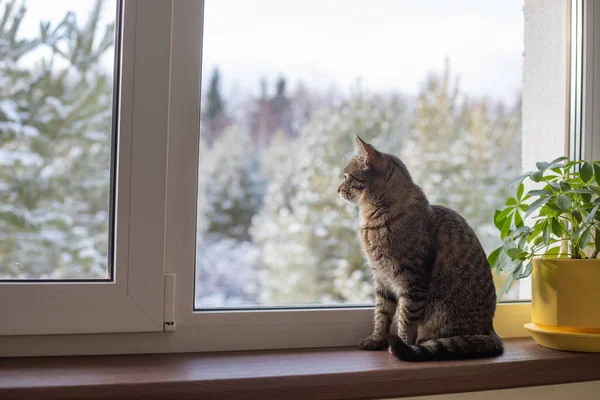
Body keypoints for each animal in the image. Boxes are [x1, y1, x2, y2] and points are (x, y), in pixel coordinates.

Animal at [338, 135, 502, 362]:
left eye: (346, 176)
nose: (337, 189)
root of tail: (491, 331)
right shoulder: (381, 278)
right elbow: (381, 314)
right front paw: (377, 340)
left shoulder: (412, 280)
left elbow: (406, 319)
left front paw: (402, 344)